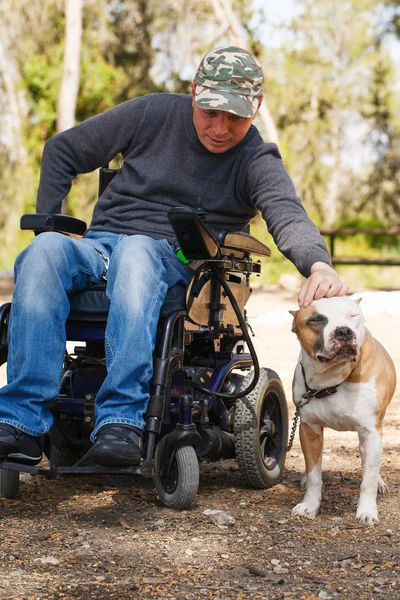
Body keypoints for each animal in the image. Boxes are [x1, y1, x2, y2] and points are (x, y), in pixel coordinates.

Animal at [290, 296, 396, 524]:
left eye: (353, 315)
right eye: (317, 320)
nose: (344, 331)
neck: (331, 380)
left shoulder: (371, 432)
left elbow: (368, 479)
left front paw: (367, 511)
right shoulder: (309, 429)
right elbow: (314, 474)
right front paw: (309, 505)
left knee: (369, 463)